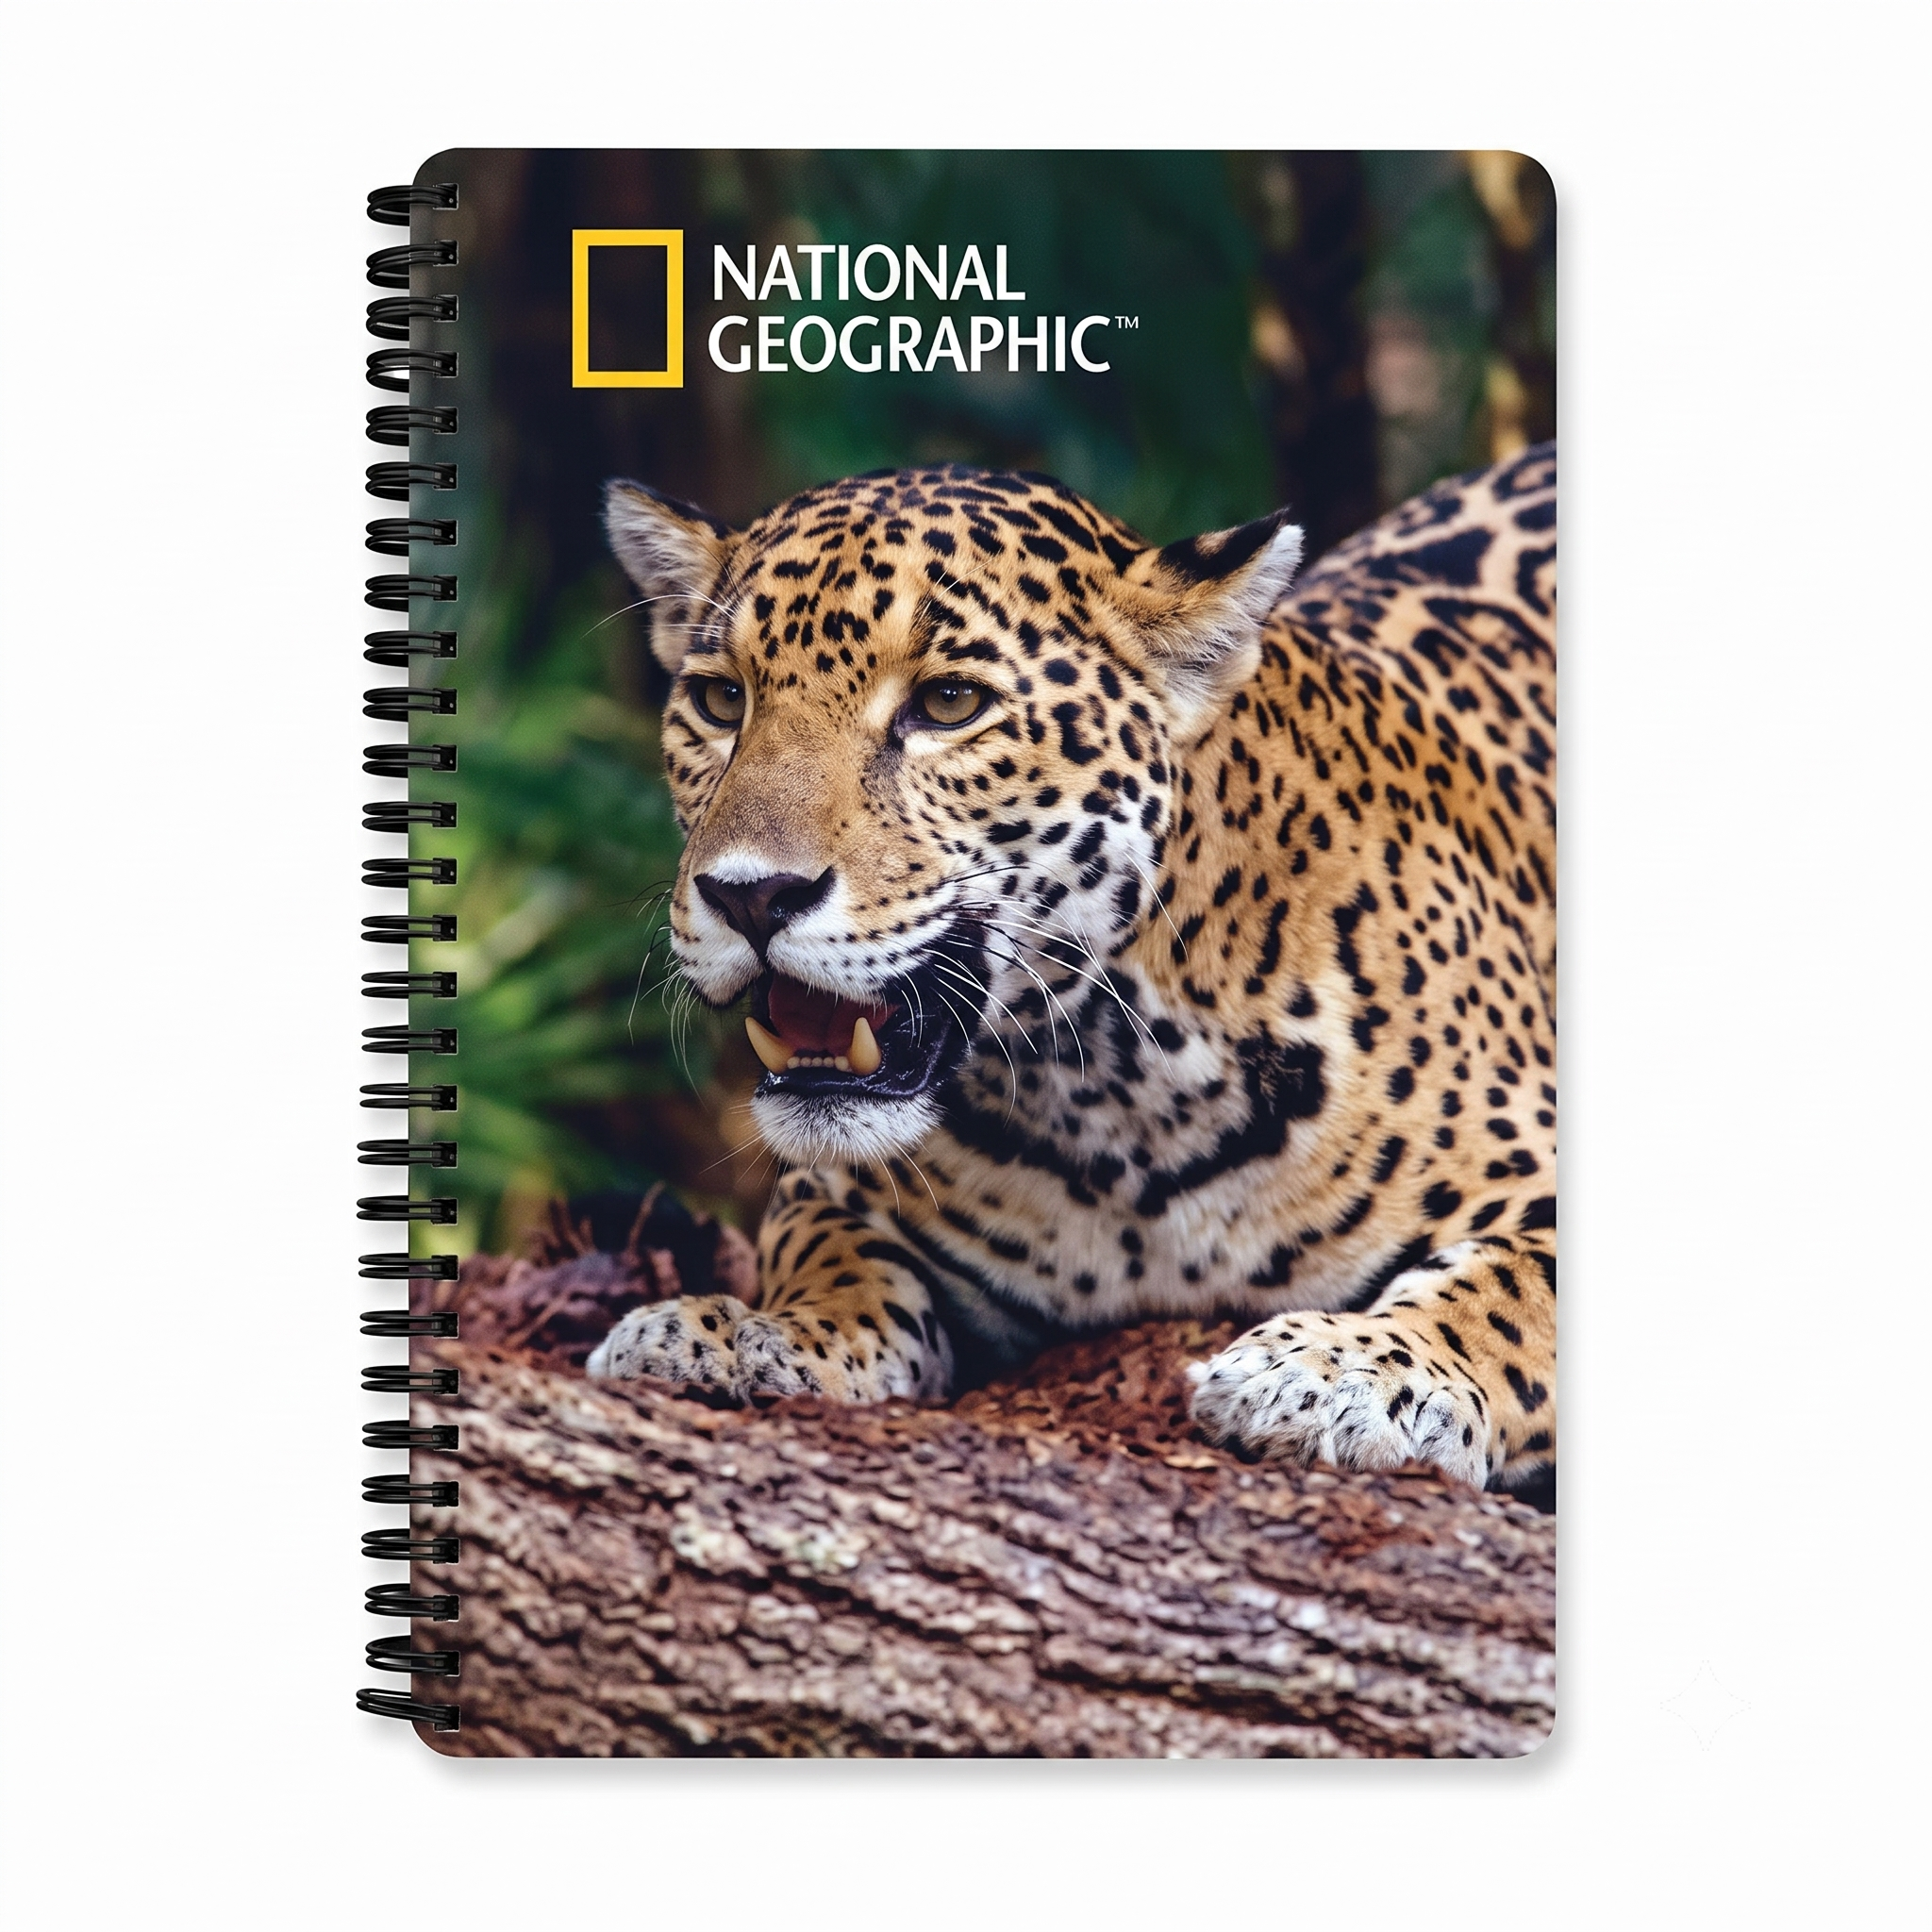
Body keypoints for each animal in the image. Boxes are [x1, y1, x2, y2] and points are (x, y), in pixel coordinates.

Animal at [586, 443, 1556, 1492]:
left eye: (949, 703)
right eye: (722, 699)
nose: (750, 896)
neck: (1112, 1106)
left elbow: (1503, 1286)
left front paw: (1340, 1371)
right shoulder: (832, 1189)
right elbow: (829, 1260)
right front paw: (756, 1334)